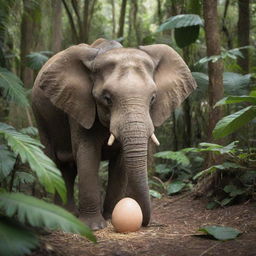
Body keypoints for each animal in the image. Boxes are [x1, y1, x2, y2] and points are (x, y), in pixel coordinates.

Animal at [31, 38, 196, 230]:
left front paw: (110, 218)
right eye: (107, 98)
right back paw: (64, 215)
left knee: (67, 169)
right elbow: (87, 155)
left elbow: (120, 163)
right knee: (55, 163)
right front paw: (94, 226)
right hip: (41, 117)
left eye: (153, 98)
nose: (146, 222)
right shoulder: (80, 107)